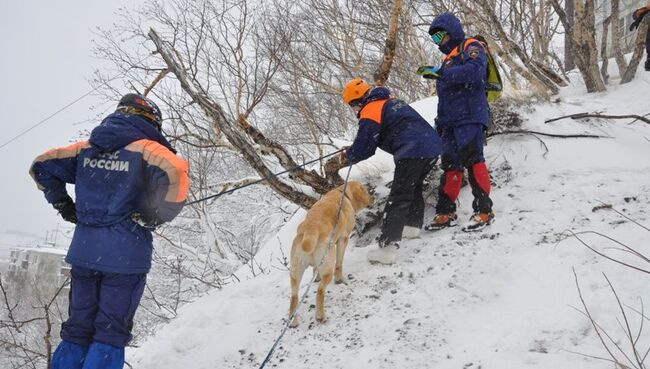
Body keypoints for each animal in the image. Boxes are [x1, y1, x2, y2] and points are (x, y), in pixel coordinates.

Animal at [288, 180, 372, 326]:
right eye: (366, 191)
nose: (373, 198)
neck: (343, 193)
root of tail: (310, 229)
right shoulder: (343, 239)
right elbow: (339, 263)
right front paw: (339, 279)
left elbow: (316, 270)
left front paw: (316, 277)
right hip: (328, 264)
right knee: (320, 291)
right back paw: (320, 316)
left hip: (295, 272)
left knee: (294, 295)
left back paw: (294, 321)